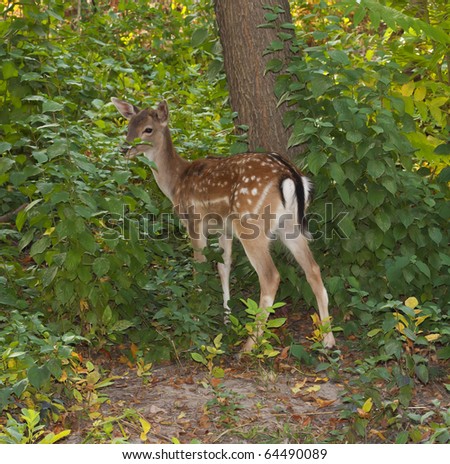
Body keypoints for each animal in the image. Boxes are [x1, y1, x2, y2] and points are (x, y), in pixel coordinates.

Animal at [111, 97, 336, 352]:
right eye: (129, 126)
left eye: (148, 129)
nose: (125, 149)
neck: (176, 182)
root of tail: (291, 175)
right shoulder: (223, 229)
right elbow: (224, 266)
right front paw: (227, 317)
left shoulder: (194, 222)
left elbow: (199, 267)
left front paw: (196, 317)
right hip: (289, 226)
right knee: (314, 269)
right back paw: (327, 339)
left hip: (251, 224)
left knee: (270, 276)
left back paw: (250, 344)